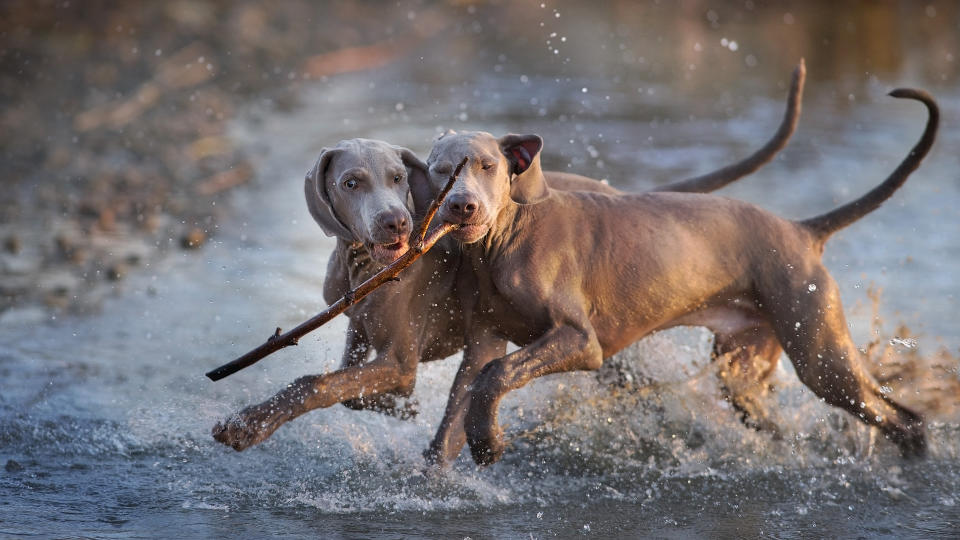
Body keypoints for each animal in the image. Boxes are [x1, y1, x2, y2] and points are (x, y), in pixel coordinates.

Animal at [426, 87, 936, 464]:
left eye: (488, 166)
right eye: (439, 171)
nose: (461, 206)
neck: (504, 240)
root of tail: (802, 231)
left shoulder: (581, 341)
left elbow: (498, 373)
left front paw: (488, 442)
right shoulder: (483, 340)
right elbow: (456, 416)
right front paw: (455, 462)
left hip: (821, 356)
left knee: (905, 419)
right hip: (745, 370)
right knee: (778, 419)